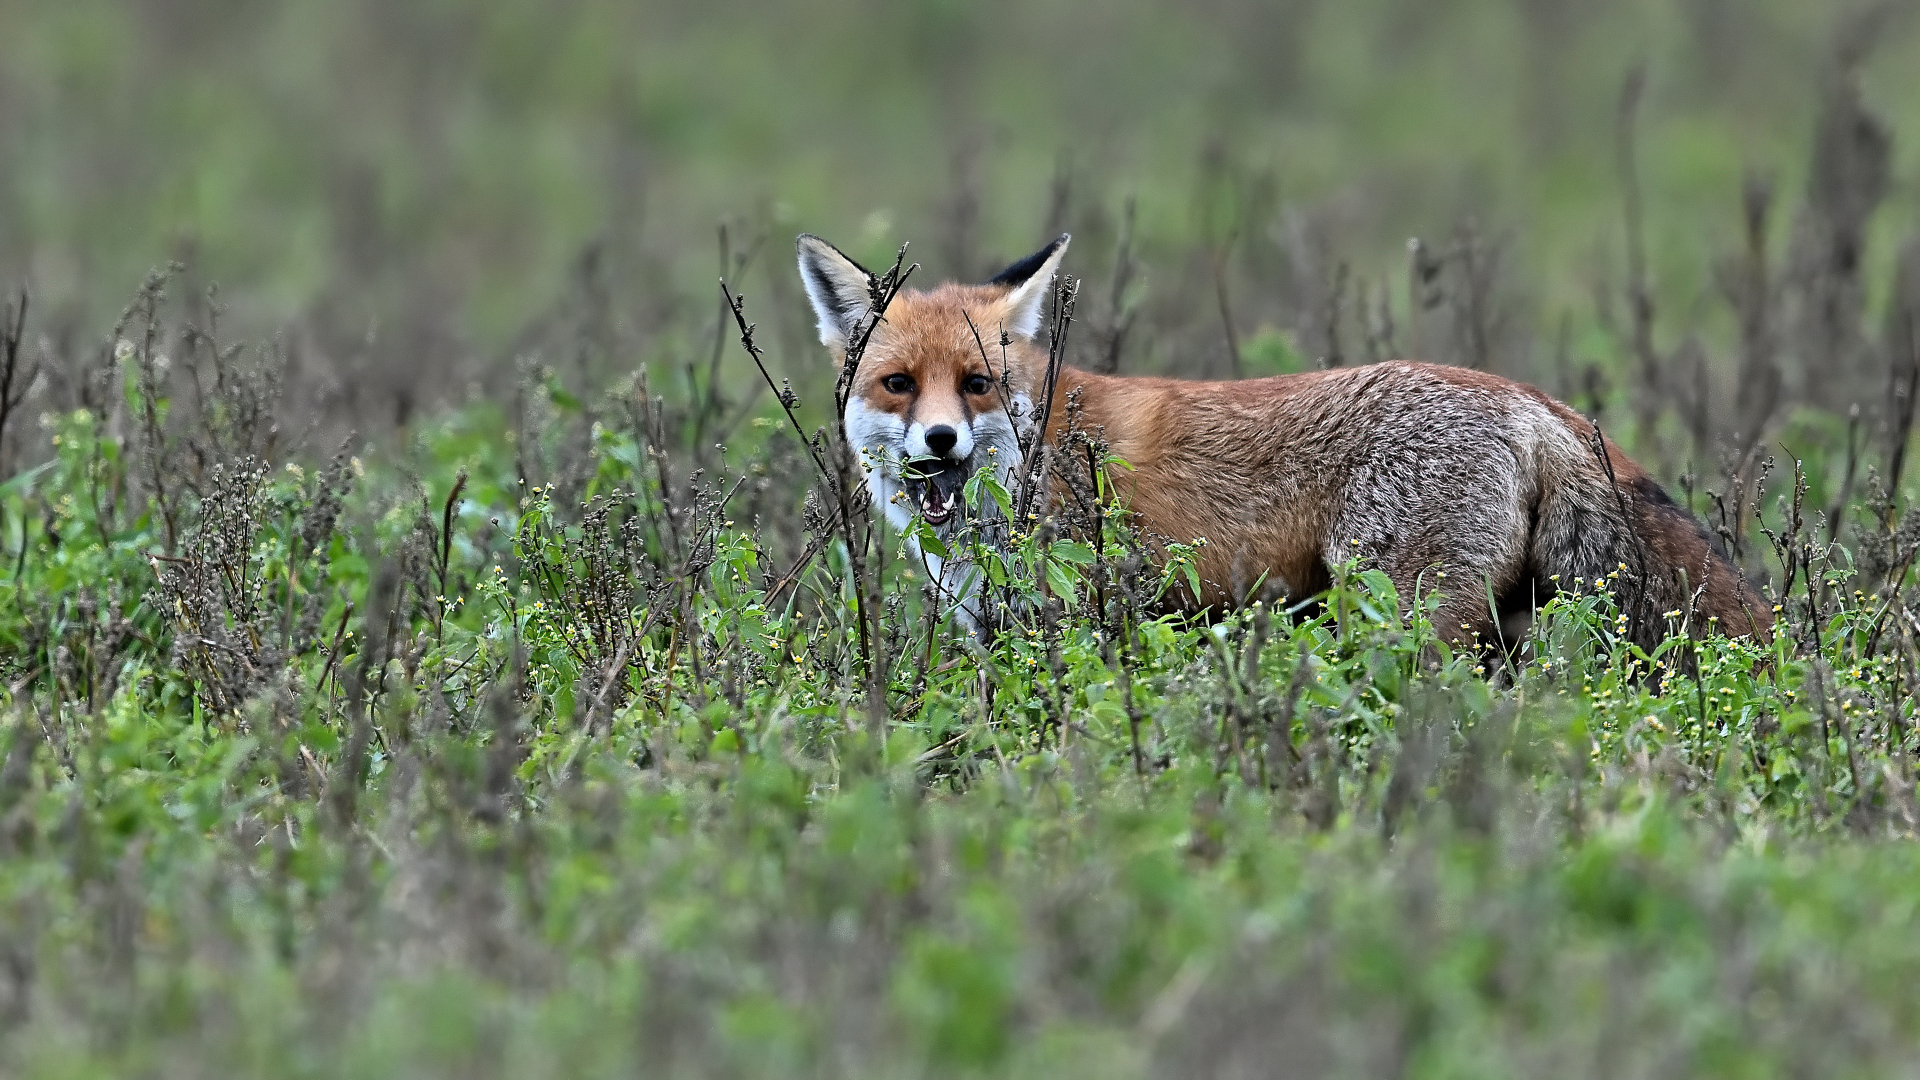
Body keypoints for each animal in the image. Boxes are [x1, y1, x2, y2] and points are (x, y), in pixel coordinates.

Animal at [796, 231, 1772, 648]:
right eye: (898, 385)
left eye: (976, 384)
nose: (940, 441)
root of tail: (1530, 400)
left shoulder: (1076, 616)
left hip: (1398, 613)